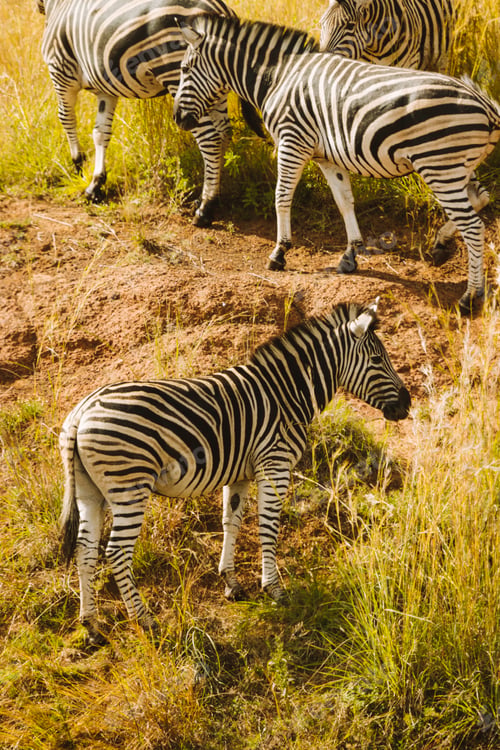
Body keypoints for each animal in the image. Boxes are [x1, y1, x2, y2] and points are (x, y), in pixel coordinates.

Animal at [38, 0, 263, 226]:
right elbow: (101, 133)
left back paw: (205, 209)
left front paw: (78, 165)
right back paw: (209, 196)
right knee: (224, 133)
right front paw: (95, 183)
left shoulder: (61, 71)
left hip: (179, 76)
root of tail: (222, 10)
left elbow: (66, 118)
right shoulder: (106, 90)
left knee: (210, 139)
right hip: (212, 89)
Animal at [59, 299, 410, 640]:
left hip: (90, 492)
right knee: (117, 552)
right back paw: (145, 621)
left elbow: (232, 522)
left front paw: (231, 582)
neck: (288, 393)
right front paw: (275, 590)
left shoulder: (239, 475)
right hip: (129, 485)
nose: (407, 404)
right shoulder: (274, 464)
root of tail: (82, 411)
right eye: (377, 359)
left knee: (84, 551)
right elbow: (267, 527)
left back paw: (91, 626)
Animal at [173, 15, 500, 314]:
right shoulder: (327, 157)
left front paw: (279, 253)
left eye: (185, 69)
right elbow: (345, 202)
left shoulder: (293, 141)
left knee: (473, 225)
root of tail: (483, 103)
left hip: (440, 167)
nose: (178, 119)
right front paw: (351, 254)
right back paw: (441, 246)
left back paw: (469, 298)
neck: (279, 76)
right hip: (457, 167)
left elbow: (282, 197)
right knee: (480, 197)